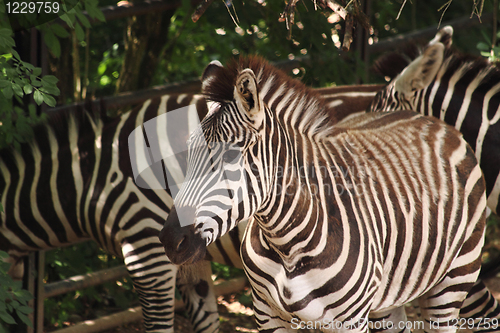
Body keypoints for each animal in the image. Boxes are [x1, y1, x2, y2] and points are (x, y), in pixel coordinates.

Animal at [160, 56, 488, 332]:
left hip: (454, 278)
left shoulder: (350, 320)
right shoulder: (266, 313)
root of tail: (427, 118)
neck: (286, 244)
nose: (171, 240)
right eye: (188, 152)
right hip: (387, 299)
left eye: (229, 157)